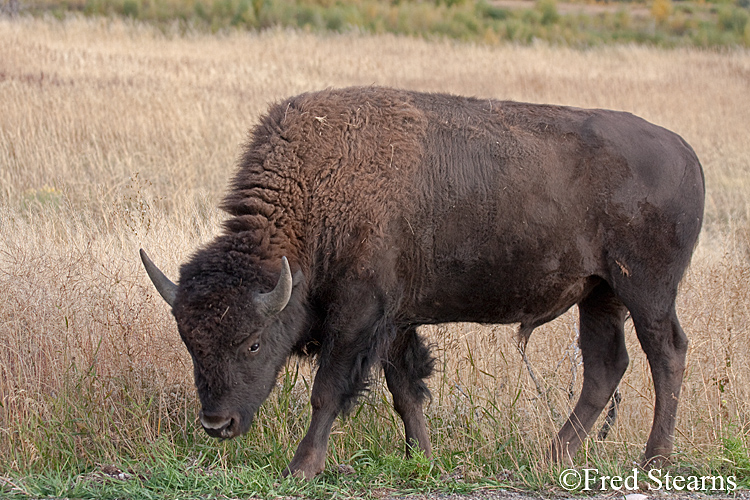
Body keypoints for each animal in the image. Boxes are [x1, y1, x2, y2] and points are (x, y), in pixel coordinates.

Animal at [140, 86, 705, 479]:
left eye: (254, 342)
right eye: (190, 343)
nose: (217, 425)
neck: (320, 192)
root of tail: (687, 152)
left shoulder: (358, 315)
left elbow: (329, 391)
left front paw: (301, 468)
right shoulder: (395, 320)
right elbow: (406, 391)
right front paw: (422, 459)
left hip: (647, 292)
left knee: (667, 355)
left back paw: (654, 462)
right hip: (601, 294)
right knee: (605, 367)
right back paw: (552, 457)